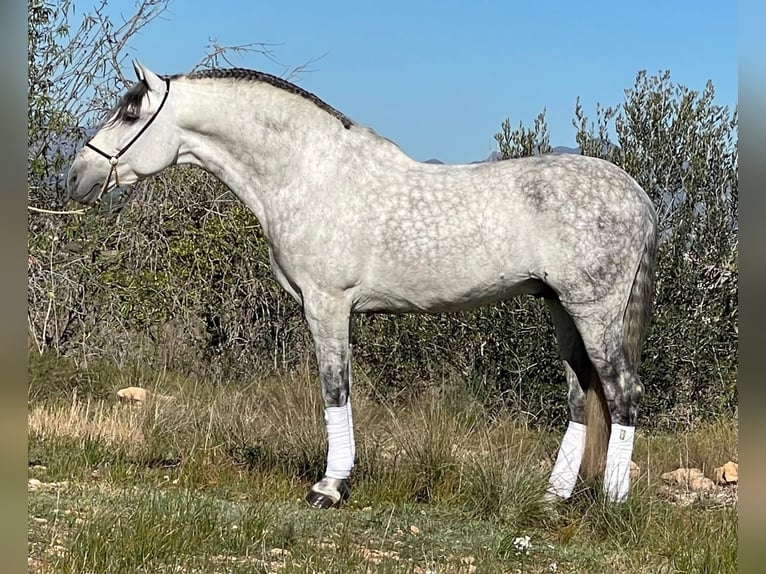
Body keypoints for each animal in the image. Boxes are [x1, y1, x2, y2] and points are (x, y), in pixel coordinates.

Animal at [67, 60, 660, 508]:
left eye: (130, 113)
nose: (76, 177)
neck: (309, 175)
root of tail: (637, 194)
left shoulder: (326, 305)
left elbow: (335, 388)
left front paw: (329, 487)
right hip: (561, 309)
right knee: (581, 396)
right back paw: (553, 497)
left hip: (594, 310)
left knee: (622, 393)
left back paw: (612, 503)